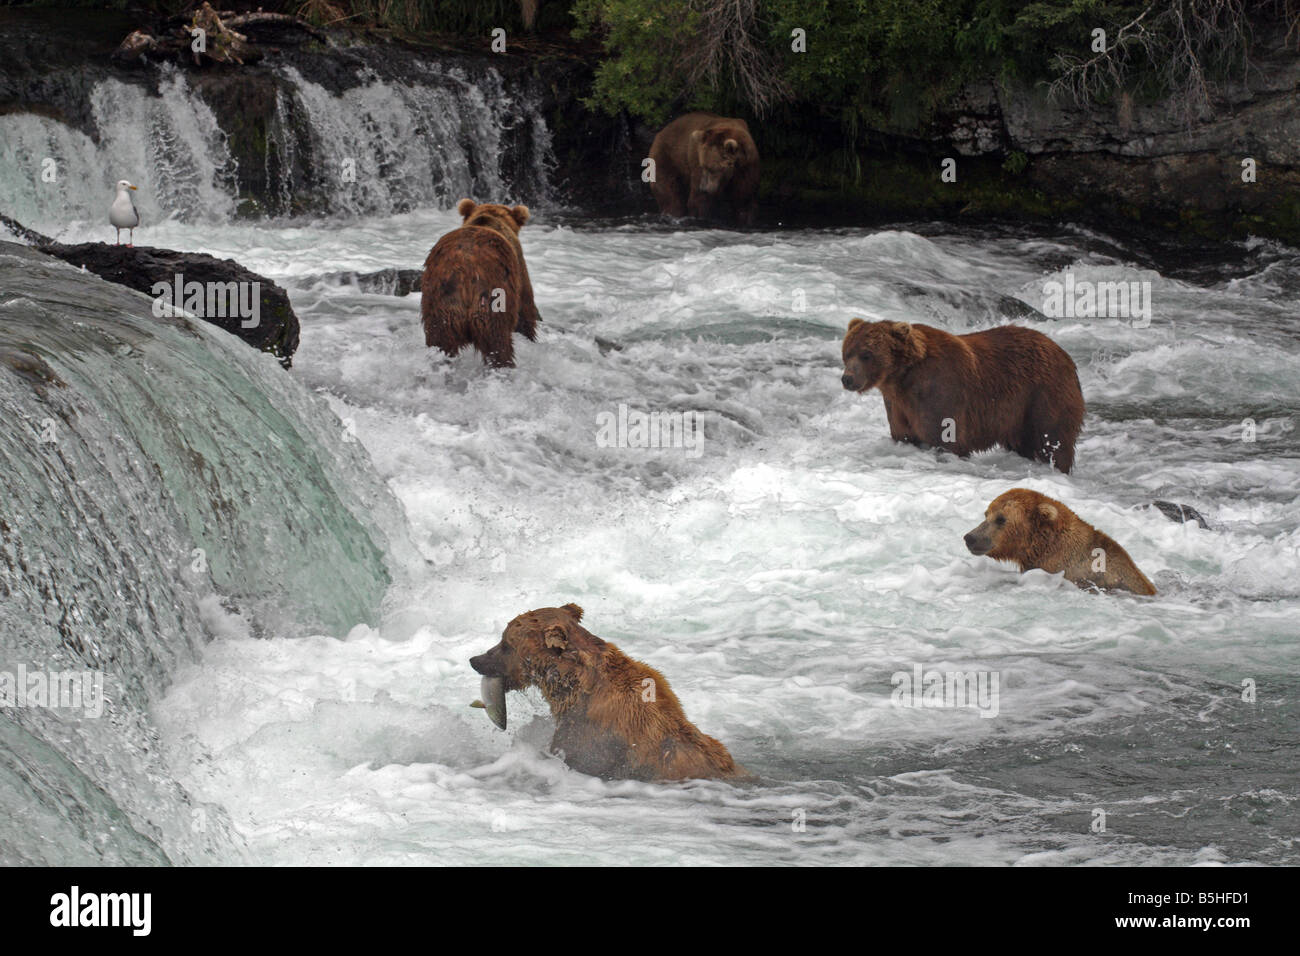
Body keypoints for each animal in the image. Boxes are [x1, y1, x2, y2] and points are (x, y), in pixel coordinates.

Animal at [416, 197, 538, 366]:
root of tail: (464, 270)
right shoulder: (519, 268)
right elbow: (525, 312)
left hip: (440, 303)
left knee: (439, 343)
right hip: (492, 298)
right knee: (498, 343)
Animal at [837, 319, 1081, 473]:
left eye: (866, 354)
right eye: (847, 353)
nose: (847, 379)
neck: (902, 378)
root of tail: (1062, 352)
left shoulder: (941, 393)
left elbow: (947, 440)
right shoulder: (898, 405)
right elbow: (903, 434)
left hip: (1043, 395)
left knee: (1052, 440)